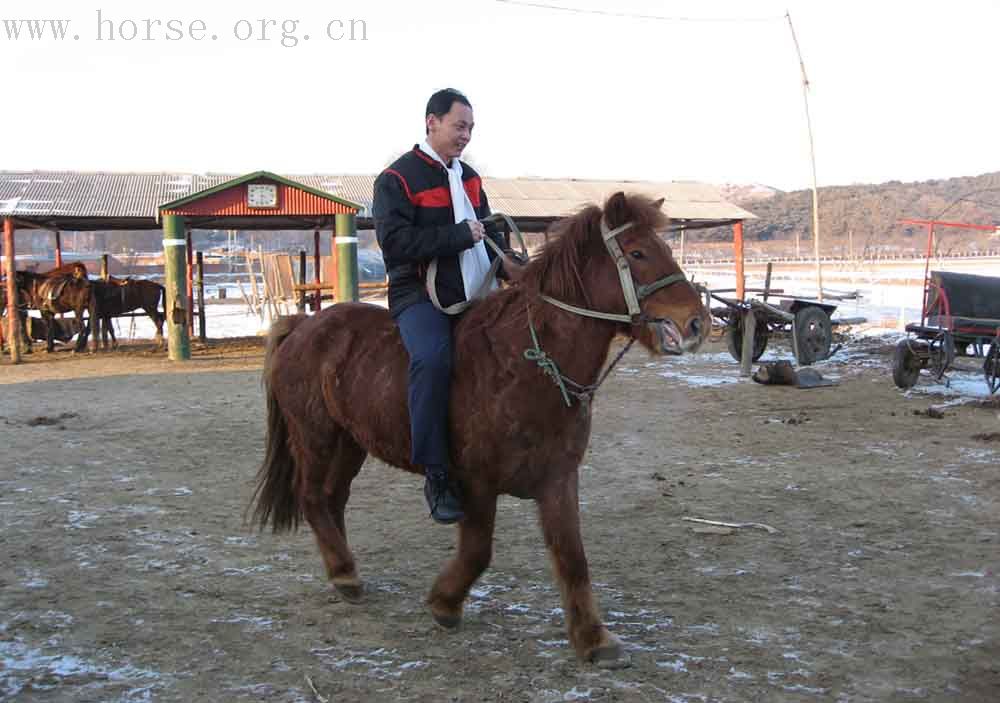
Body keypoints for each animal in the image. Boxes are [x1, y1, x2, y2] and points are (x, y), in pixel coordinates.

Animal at [247, 192, 708, 664]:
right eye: (637, 252)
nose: (696, 323)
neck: (525, 365)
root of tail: (303, 325)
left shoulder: (558, 478)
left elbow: (572, 556)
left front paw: (592, 638)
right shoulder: (476, 482)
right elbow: (478, 551)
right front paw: (444, 603)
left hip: (350, 442)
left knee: (332, 499)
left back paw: (342, 567)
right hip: (316, 436)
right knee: (312, 498)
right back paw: (344, 574)